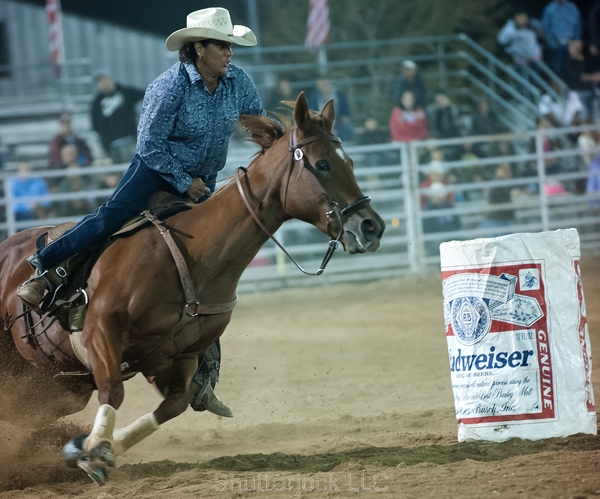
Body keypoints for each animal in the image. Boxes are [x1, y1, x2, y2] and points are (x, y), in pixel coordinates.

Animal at [0, 93, 385, 484]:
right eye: (322, 164)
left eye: (350, 162)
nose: (372, 226)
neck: (195, 255)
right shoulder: (100, 333)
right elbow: (114, 391)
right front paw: (93, 455)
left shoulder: (175, 357)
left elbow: (174, 405)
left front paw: (96, 447)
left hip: (58, 384)